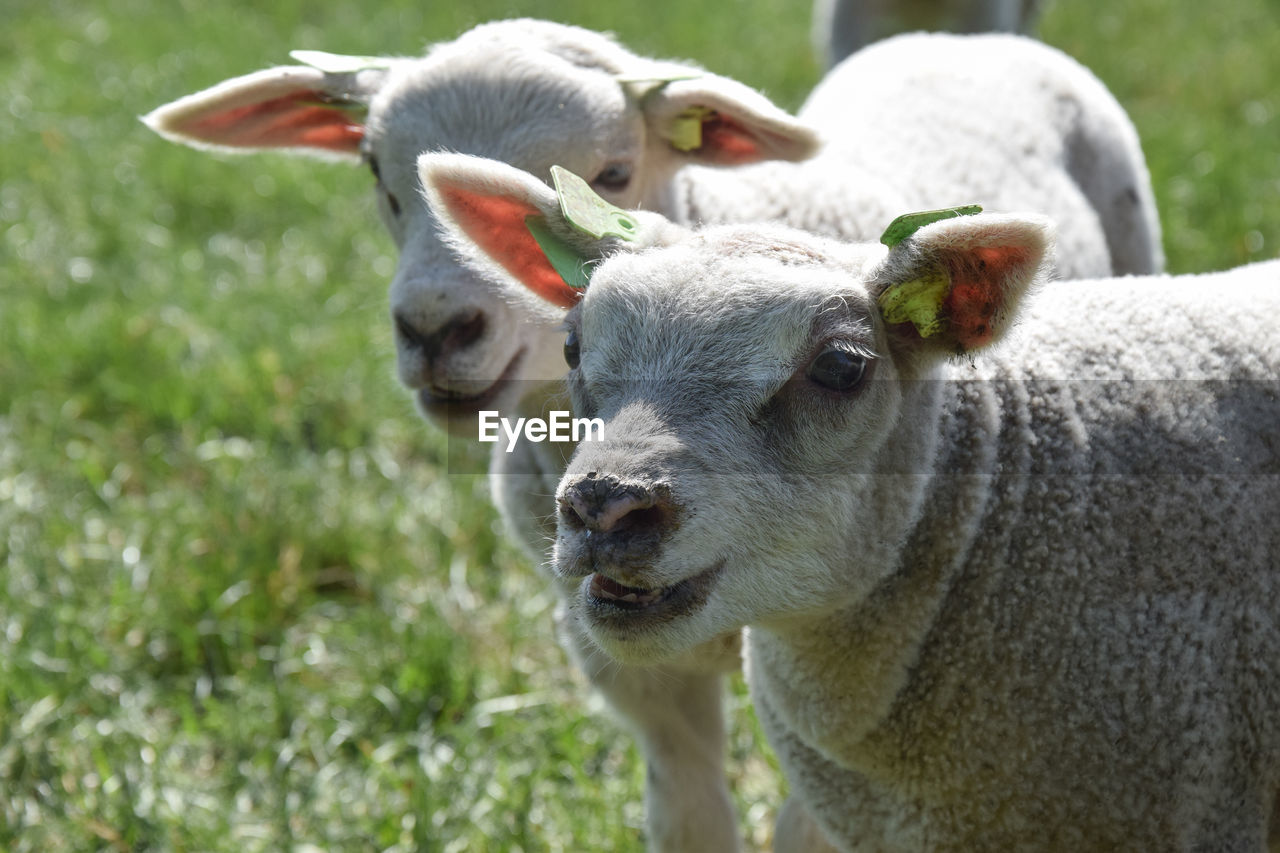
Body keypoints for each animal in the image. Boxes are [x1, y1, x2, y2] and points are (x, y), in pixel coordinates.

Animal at [145, 21, 1167, 850]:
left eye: (611, 174)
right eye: (375, 174)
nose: (437, 329)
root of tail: (957, 37)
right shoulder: (617, 648)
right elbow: (686, 813)